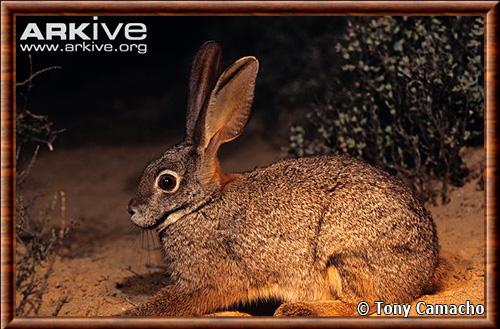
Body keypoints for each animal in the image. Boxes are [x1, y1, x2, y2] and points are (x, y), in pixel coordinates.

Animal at [125, 41, 438, 316]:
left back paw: (297, 309)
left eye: (166, 182)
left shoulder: (202, 281)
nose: (132, 210)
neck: (202, 205)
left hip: (343, 256)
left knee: (363, 304)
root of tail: (427, 268)